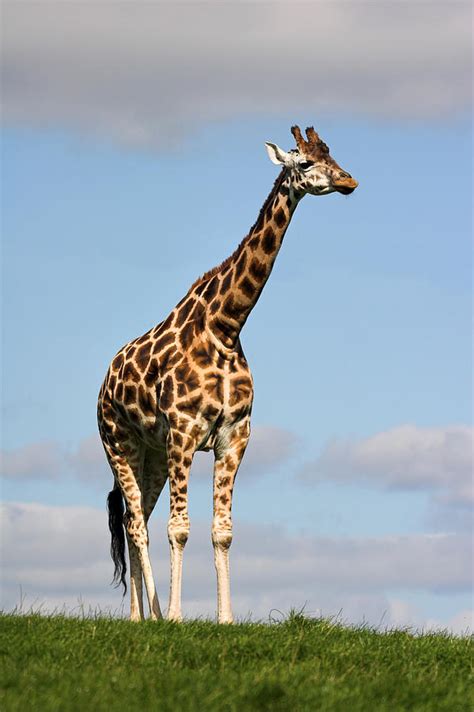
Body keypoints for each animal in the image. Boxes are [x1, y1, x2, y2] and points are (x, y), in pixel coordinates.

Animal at [98, 125, 360, 620]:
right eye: (304, 163)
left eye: (333, 155)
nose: (349, 181)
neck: (225, 325)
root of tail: (104, 381)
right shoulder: (184, 432)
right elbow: (179, 527)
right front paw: (178, 617)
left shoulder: (235, 435)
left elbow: (223, 530)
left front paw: (225, 618)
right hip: (118, 442)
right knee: (137, 521)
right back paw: (152, 616)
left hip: (152, 453)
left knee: (132, 518)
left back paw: (141, 616)